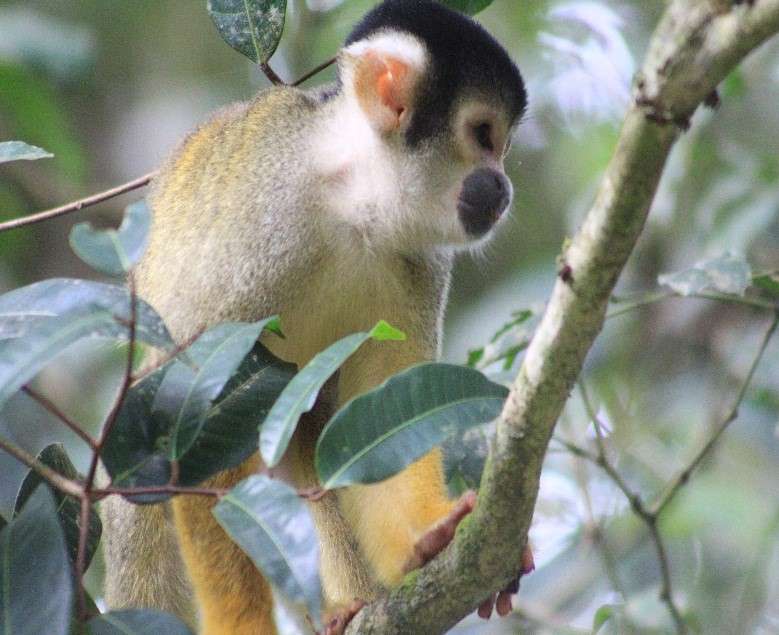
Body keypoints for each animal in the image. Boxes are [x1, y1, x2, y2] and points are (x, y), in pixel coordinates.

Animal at [100, 1, 528, 635]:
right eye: (483, 135)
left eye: (500, 145)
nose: (502, 187)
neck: (354, 201)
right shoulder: (264, 221)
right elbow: (198, 424)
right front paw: (241, 624)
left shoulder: (421, 262)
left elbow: (379, 409)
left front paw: (433, 538)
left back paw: (350, 602)